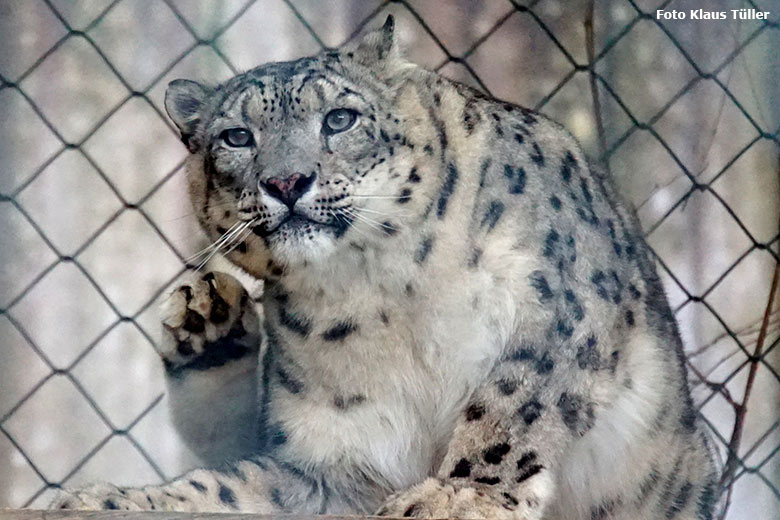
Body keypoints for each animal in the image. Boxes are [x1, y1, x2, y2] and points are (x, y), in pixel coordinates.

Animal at [51, 16, 716, 520]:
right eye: (236, 136)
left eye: (340, 119)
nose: (287, 181)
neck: (383, 292)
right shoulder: (336, 456)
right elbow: (232, 488)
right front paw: (102, 501)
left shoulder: (564, 307)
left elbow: (512, 401)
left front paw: (456, 495)